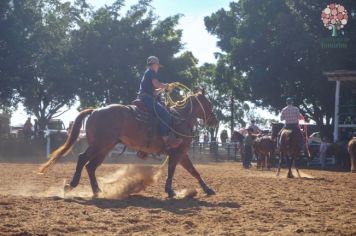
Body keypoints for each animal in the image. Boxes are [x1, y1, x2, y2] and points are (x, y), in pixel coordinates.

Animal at [39, 91, 217, 198]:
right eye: (209, 104)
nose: (215, 121)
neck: (180, 119)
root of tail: (95, 111)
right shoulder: (177, 152)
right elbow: (173, 171)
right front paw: (170, 191)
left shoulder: (182, 153)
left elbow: (194, 172)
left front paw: (208, 189)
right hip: (99, 145)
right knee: (83, 159)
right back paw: (71, 185)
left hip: (105, 148)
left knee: (91, 166)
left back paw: (97, 191)